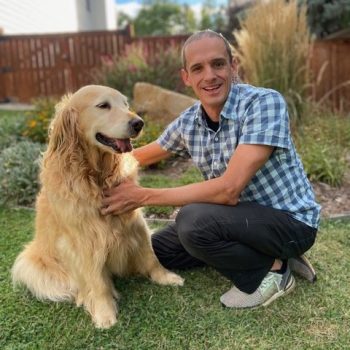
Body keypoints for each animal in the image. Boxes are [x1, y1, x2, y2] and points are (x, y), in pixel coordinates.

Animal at [11, 84, 183, 328]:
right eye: (103, 105)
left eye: (126, 104)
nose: (138, 123)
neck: (98, 175)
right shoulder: (84, 239)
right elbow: (96, 280)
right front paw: (104, 312)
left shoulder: (135, 222)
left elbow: (151, 255)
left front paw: (165, 277)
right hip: (33, 263)